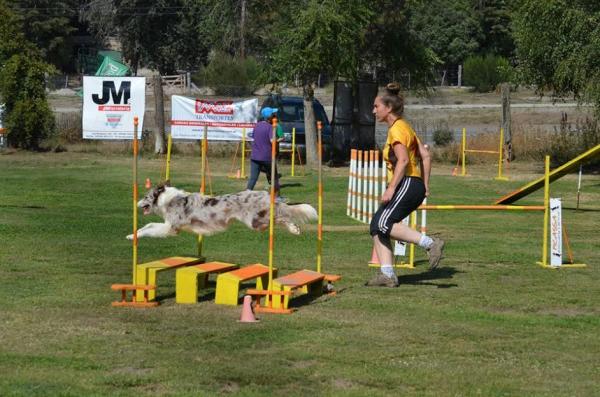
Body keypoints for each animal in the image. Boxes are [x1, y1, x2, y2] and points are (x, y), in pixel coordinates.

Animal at [124, 182, 316, 240]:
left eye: (146, 197)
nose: (136, 203)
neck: (168, 199)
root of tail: (264, 193)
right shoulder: (168, 225)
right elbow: (148, 224)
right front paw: (131, 234)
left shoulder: (171, 227)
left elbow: (150, 228)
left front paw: (134, 236)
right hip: (258, 221)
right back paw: (295, 229)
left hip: (254, 221)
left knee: (281, 216)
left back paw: (294, 228)